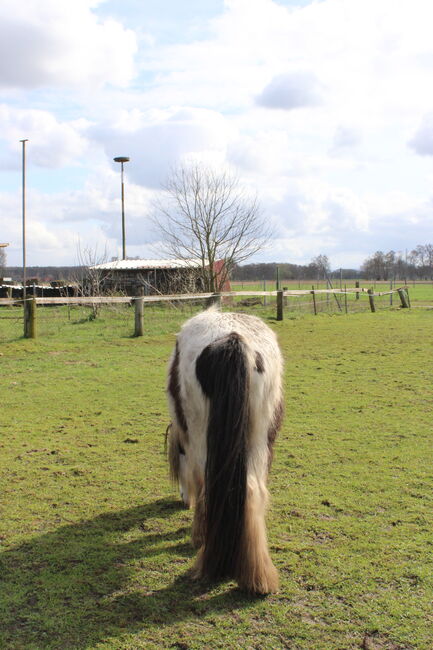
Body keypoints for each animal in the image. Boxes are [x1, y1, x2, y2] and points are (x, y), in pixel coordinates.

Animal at [166, 307, 283, 594]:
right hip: (258, 441)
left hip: (201, 438)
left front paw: (198, 535)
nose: (183, 499)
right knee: (253, 490)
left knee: (207, 482)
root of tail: (232, 338)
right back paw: (256, 577)